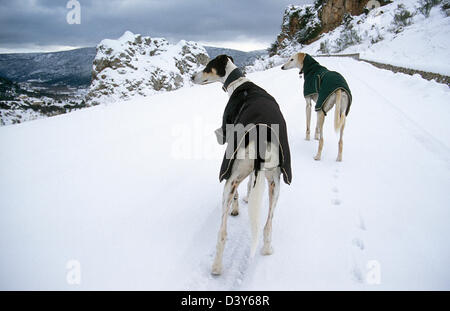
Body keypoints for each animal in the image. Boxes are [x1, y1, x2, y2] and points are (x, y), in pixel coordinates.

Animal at [191, 55, 292, 276]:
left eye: (207, 67)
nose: (192, 76)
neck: (240, 84)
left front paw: (237, 207)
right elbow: (250, 186)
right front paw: (247, 197)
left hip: (230, 177)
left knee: (222, 232)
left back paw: (217, 267)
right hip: (275, 182)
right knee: (267, 225)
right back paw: (267, 249)